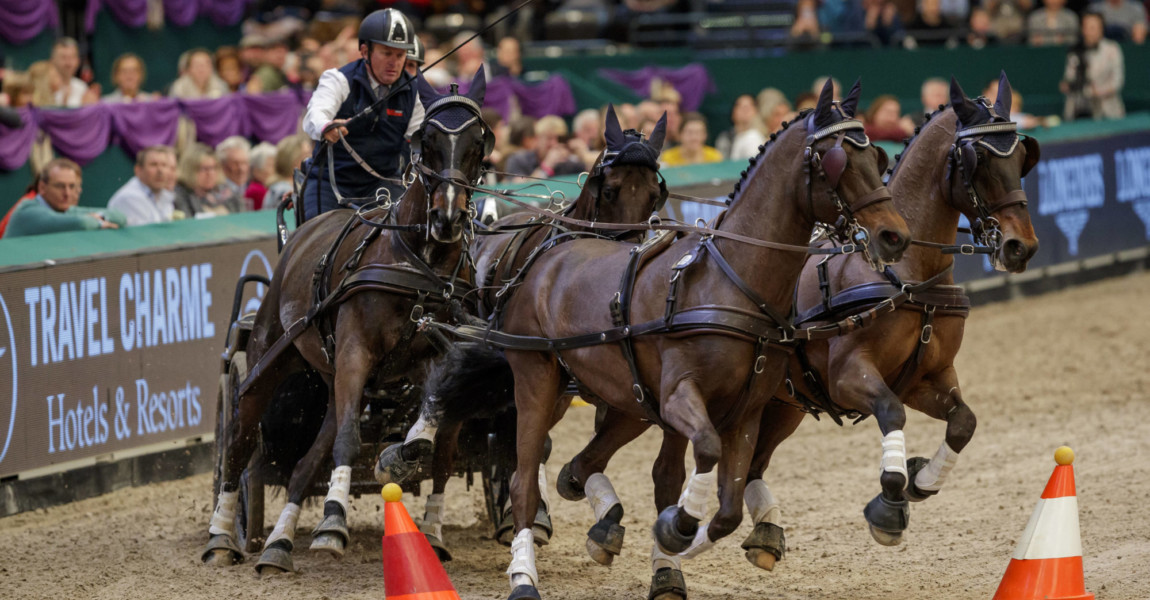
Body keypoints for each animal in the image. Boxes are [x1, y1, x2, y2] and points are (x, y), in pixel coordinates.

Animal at [198, 67, 494, 567]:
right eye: (428, 140)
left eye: (479, 142)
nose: (447, 219)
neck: (416, 260)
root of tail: (304, 231)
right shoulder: (356, 351)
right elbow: (350, 443)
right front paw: (333, 524)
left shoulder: (435, 355)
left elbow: (433, 443)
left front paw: (401, 466)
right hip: (267, 359)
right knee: (239, 442)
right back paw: (223, 535)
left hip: (330, 374)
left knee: (309, 459)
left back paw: (279, 544)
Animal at [372, 105, 671, 558]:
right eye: (610, 190)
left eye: (654, 195)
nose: (624, 258)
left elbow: (579, 449)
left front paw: (595, 511)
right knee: (447, 438)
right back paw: (432, 521)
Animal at [471, 79, 901, 597]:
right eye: (835, 161)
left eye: (876, 157)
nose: (894, 234)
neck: (731, 282)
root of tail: (546, 249)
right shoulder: (679, 397)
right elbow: (704, 454)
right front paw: (677, 528)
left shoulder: (745, 413)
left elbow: (727, 508)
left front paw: (682, 545)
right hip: (539, 378)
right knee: (523, 481)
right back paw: (523, 575)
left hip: (622, 396)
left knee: (575, 466)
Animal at [736, 71, 1044, 565]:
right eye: (977, 160)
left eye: (1021, 156)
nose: (1021, 247)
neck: (906, 277)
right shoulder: (849, 376)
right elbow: (891, 413)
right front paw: (889, 506)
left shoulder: (926, 376)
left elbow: (964, 422)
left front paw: (920, 480)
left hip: (785, 405)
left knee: (752, 465)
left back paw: (764, 533)